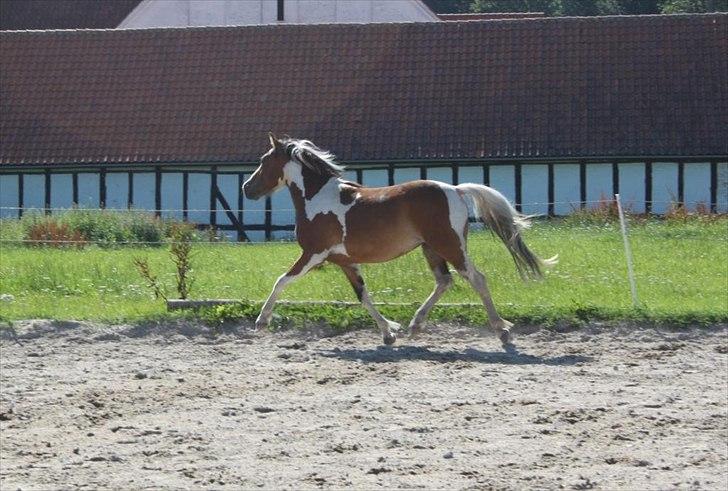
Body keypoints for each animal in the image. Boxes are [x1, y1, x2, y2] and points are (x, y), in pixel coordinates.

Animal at [242, 133, 556, 344]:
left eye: (264, 160)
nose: (247, 188)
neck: (317, 198)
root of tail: (455, 189)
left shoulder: (314, 254)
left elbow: (281, 281)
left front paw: (261, 321)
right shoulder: (344, 261)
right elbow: (363, 296)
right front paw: (389, 333)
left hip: (450, 246)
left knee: (476, 278)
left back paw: (501, 330)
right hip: (431, 248)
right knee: (445, 281)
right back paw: (415, 325)